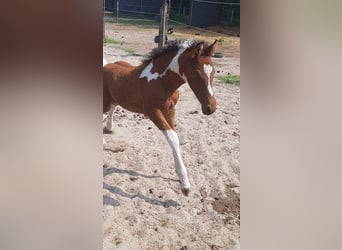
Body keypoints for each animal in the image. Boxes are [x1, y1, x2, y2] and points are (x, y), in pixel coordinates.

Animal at [103, 39, 218, 195]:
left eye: (213, 71)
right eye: (196, 73)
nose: (210, 108)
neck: (160, 81)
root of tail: (105, 65)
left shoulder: (170, 110)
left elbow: (175, 137)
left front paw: (183, 180)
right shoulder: (153, 112)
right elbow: (173, 138)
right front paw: (185, 184)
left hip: (115, 99)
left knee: (112, 108)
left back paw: (109, 128)